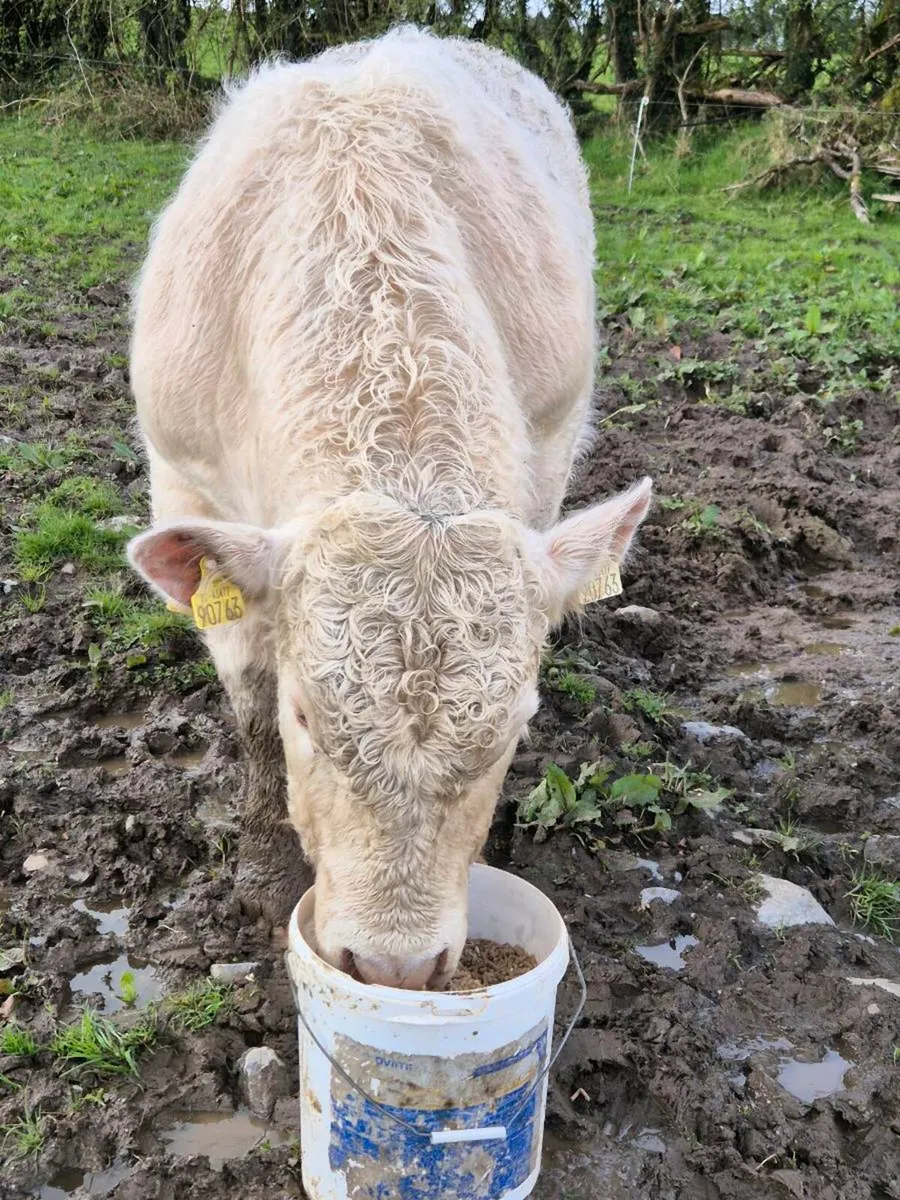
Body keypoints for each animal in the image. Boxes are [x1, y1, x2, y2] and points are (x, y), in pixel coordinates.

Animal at [127, 27, 652, 990]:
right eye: (305, 714)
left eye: (515, 729)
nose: (393, 966)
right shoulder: (186, 478)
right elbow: (246, 696)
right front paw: (264, 875)